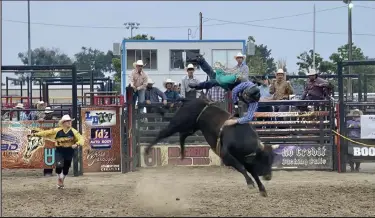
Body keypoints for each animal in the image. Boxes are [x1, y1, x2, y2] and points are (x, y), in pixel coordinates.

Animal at [145, 98, 280, 197]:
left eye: (271, 160)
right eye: (263, 159)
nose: (269, 176)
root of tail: (189, 100)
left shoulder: (245, 159)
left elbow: (253, 171)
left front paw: (262, 189)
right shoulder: (226, 157)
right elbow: (242, 168)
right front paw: (250, 183)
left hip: (191, 127)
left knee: (182, 135)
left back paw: (183, 154)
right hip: (179, 122)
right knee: (163, 133)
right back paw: (146, 150)